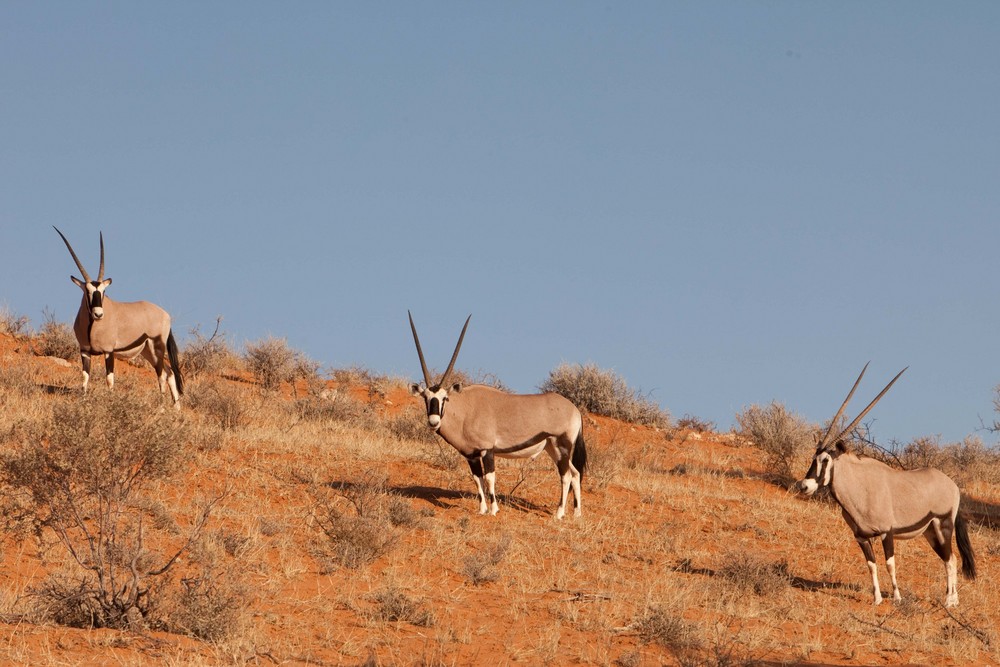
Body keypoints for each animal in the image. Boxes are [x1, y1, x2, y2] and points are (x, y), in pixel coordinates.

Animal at [54, 228, 184, 408]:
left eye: (103, 291)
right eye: (87, 291)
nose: (98, 314)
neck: (92, 327)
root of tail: (165, 314)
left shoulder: (109, 351)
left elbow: (109, 379)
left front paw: (111, 403)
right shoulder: (85, 351)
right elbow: (85, 377)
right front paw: (84, 402)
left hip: (157, 346)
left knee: (161, 374)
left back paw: (162, 408)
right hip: (147, 351)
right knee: (169, 372)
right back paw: (176, 409)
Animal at [410, 314, 588, 520]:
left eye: (444, 398)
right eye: (425, 398)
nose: (433, 421)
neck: (465, 410)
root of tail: (574, 410)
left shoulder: (487, 450)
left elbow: (489, 477)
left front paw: (494, 510)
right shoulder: (471, 455)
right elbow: (477, 479)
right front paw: (482, 509)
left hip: (562, 444)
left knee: (566, 475)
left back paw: (559, 513)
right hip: (552, 448)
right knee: (575, 473)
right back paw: (577, 513)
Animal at [796, 362, 976, 608]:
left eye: (825, 460)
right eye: (813, 458)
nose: (804, 486)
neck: (859, 487)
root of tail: (953, 485)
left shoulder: (886, 532)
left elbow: (890, 564)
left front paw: (897, 597)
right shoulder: (861, 537)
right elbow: (871, 565)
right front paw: (877, 598)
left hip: (943, 525)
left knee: (951, 559)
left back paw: (950, 601)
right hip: (930, 531)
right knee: (950, 558)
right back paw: (952, 599)